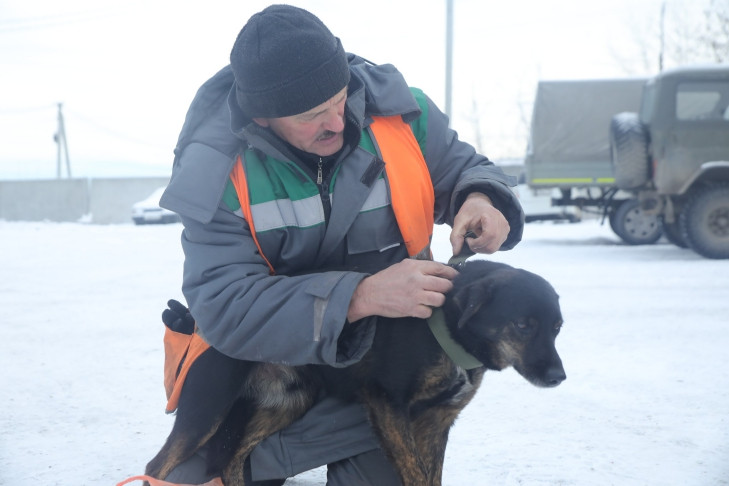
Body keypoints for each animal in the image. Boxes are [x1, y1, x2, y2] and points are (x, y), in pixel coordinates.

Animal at [142, 262, 564, 486]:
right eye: (523, 325)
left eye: (557, 327)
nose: (558, 376)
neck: (444, 327)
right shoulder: (386, 403)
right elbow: (415, 472)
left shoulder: (438, 420)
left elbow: (432, 475)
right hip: (206, 409)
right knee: (158, 466)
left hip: (286, 404)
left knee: (233, 458)